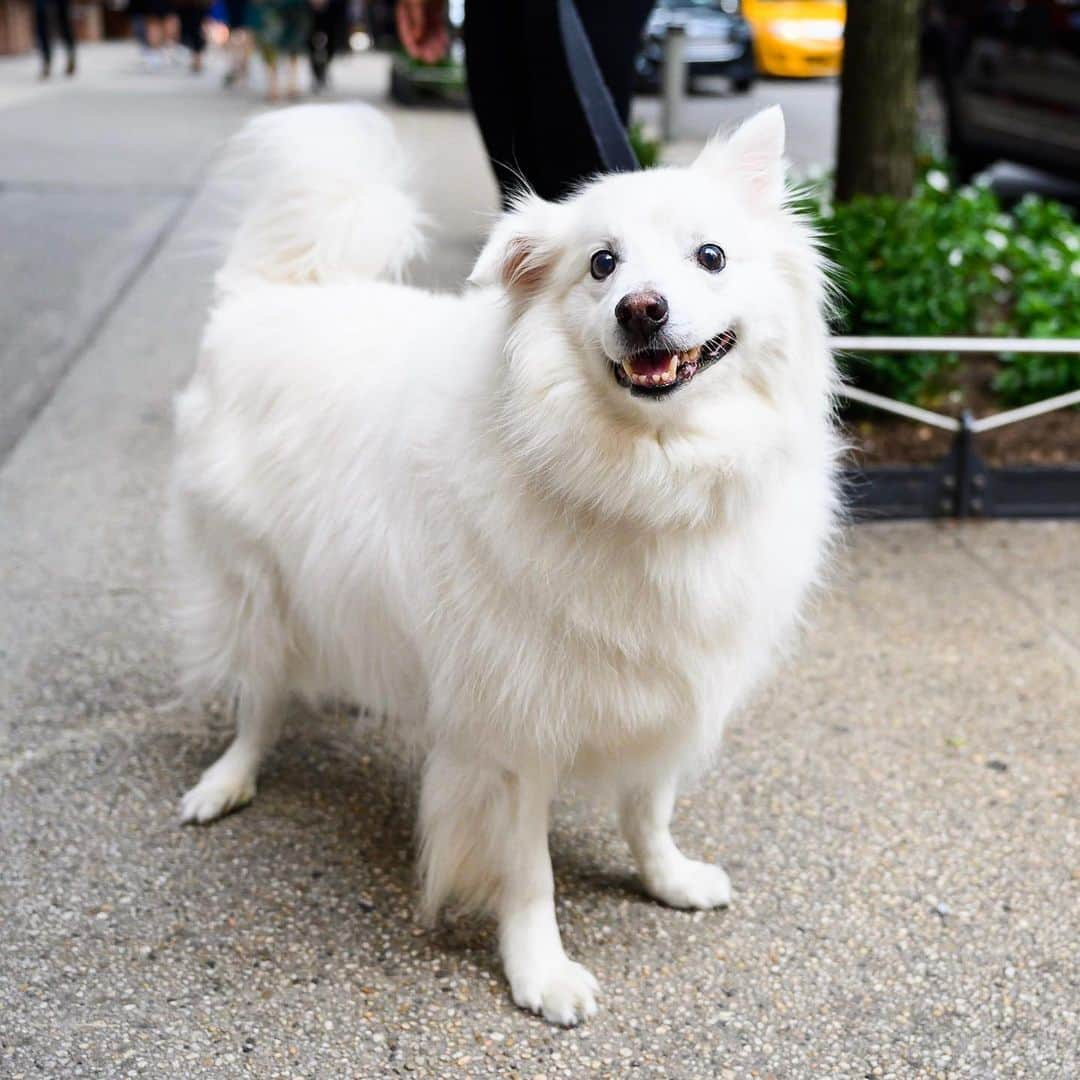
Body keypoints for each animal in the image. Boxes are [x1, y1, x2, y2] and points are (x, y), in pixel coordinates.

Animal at [170, 105, 842, 1023]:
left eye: (711, 257)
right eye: (602, 264)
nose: (642, 308)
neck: (646, 473)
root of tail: (272, 288)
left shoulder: (664, 683)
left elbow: (649, 808)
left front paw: (667, 880)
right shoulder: (514, 731)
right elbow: (530, 874)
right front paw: (540, 973)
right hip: (256, 585)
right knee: (259, 697)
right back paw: (228, 781)